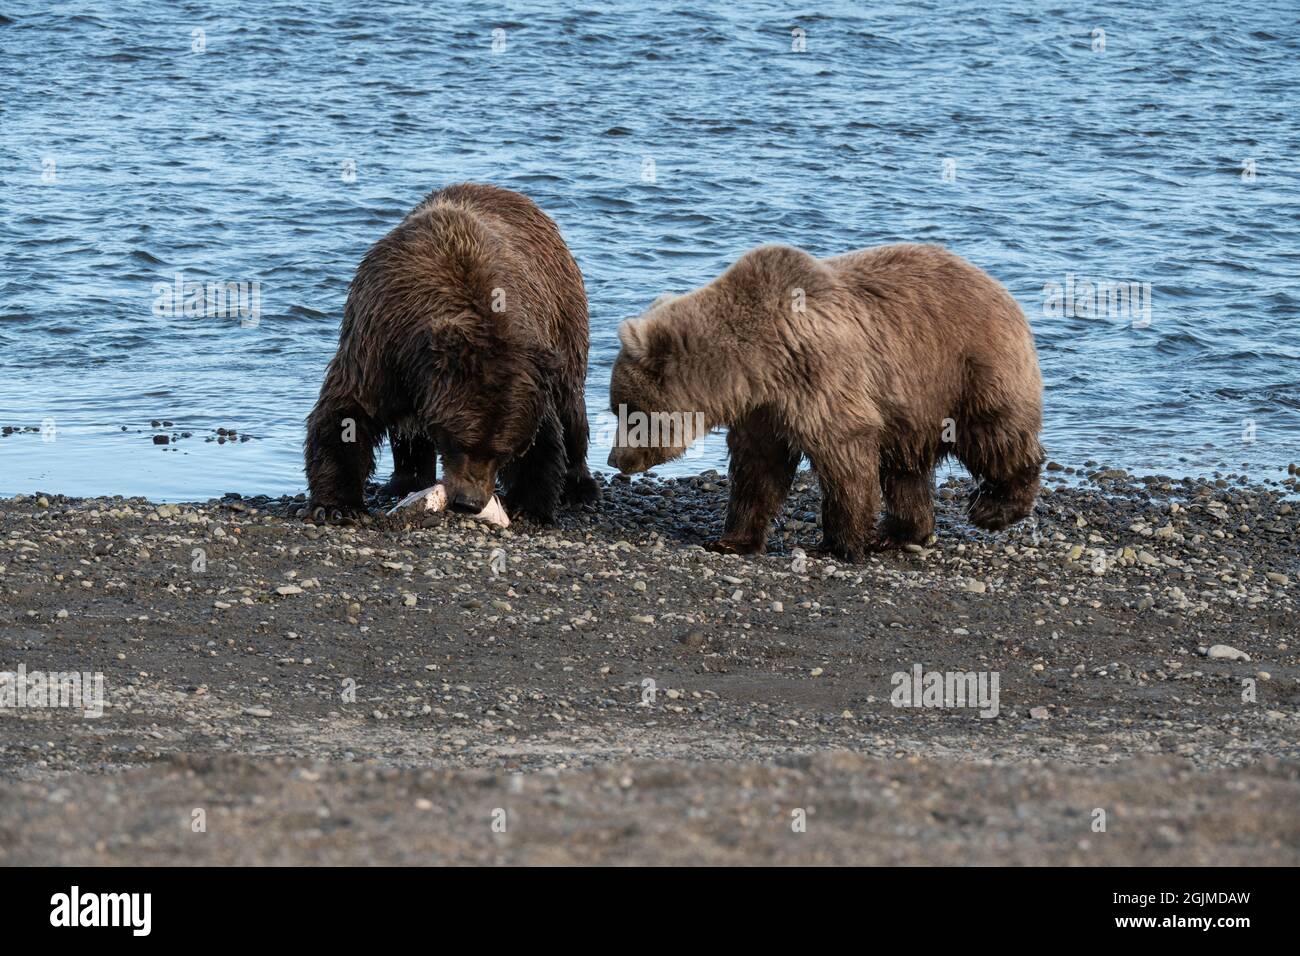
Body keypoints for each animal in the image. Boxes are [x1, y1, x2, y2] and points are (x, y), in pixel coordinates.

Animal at [304, 183, 599, 523]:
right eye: (460, 443)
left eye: (502, 451)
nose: (469, 502)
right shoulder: (379, 343)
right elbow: (348, 414)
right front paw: (337, 505)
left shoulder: (529, 365)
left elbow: (546, 435)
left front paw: (531, 504)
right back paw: (406, 479)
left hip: (564, 321)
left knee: (570, 404)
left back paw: (580, 486)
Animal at [606, 243, 1043, 562]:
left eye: (627, 411)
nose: (614, 459)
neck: (758, 366)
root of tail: (1001, 289)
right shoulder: (764, 411)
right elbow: (757, 470)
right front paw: (730, 539)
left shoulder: (819, 377)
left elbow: (844, 452)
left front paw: (835, 544)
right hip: (912, 403)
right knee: (904, 469)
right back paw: (899, 533)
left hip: (966, 369)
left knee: (993, 435)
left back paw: (994, 508)